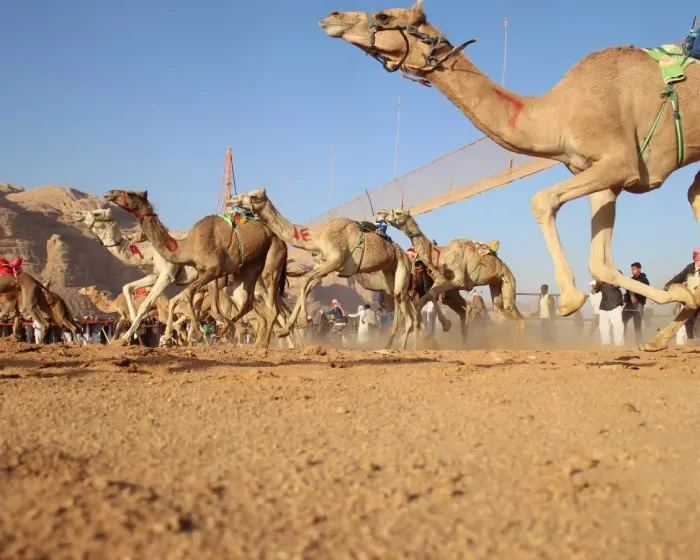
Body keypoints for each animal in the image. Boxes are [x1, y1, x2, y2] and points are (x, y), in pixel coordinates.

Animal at [71, 209, 199, 342]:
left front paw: (127, 336)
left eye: (97, 213)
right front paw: (133, 321)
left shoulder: (167, 275)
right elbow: (127, 287)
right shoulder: (156, 275)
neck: (151, 251)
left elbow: (145, 304)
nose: (76, 213)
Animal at [103, 190, 288, 349]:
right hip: (247, 271)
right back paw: (254, 338)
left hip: (271, 263)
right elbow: (207, 307)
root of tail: (280, 238)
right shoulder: (208, 273)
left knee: (271, 306)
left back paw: (267, 340)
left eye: (131, 193)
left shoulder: (212, 269)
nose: (109, 193)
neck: (187, 245)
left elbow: (186, 295)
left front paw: (197, 334)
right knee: (247, 302)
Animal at [230, 188, 420, 349]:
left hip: (402, 269)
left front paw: (301, 322)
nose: (232, 199)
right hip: (390, 275)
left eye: (254, 196)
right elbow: (307, 286)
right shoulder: (323, 265)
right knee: (403, 304)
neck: (317, 236)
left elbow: (304, 281)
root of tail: (404, 254)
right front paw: (286, 328)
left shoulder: (335, 261)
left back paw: (398, 347)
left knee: (404, 309)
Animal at [377, 208, 526, 336]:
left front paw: (446, 324)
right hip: (496, 286)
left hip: (508, 281)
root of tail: (509, 272)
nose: (380, 212)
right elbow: (426, 297)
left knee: (515, 315)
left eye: (398, 212)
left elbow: (432, 294)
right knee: (506, 311)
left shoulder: (458, 279)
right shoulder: (441, 280)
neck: (441, 254)